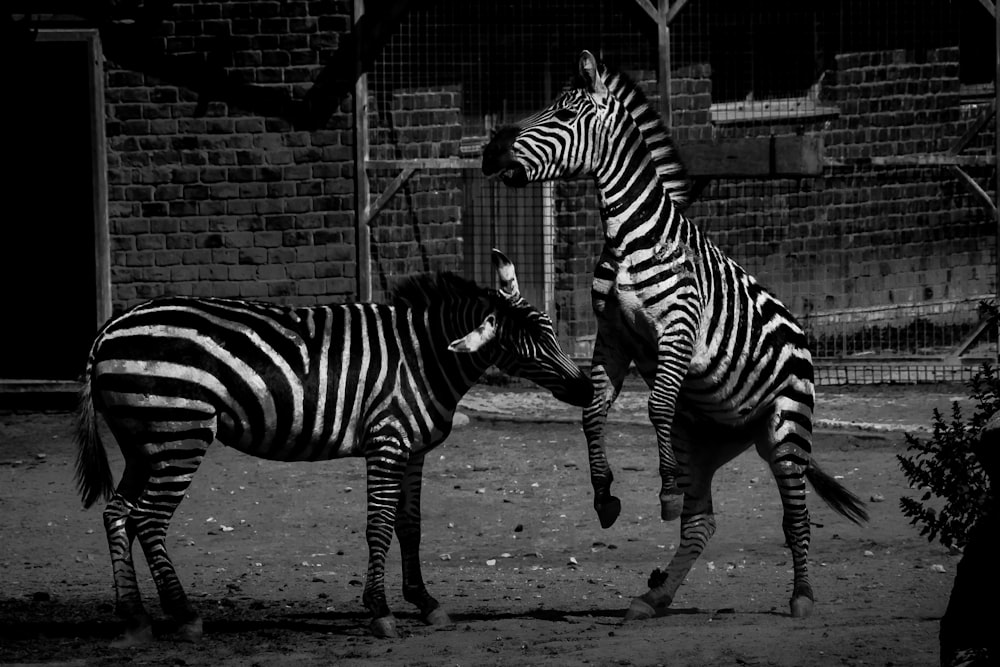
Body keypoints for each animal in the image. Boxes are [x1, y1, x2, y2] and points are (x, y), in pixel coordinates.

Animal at [78, 249, 592, 640]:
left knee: (117, 513)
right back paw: (183, 615)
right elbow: (380, 525)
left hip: (144, 441)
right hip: (179, 432)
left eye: (551, 330)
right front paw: (380, 610)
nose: (587, 389)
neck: (424, 357)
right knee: (147, 518)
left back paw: (135, 618)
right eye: (523, 346)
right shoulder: (387, 440)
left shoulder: (413, 450)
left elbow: (410, 525)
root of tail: (109, 327)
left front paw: (425, 602)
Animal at [480, 51, 864, 620]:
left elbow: (656, 405)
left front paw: (662, 491)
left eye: (564, 115)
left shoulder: (676, 331)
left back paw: (801, 597)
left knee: (795, 515)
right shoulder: (613, 337)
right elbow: (593, 412)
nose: (489, 151)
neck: (629, 236)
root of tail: (801, 334)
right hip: (703, 440)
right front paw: (604, 496)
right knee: (701, 522)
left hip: (786, 428)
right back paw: (654, 596)